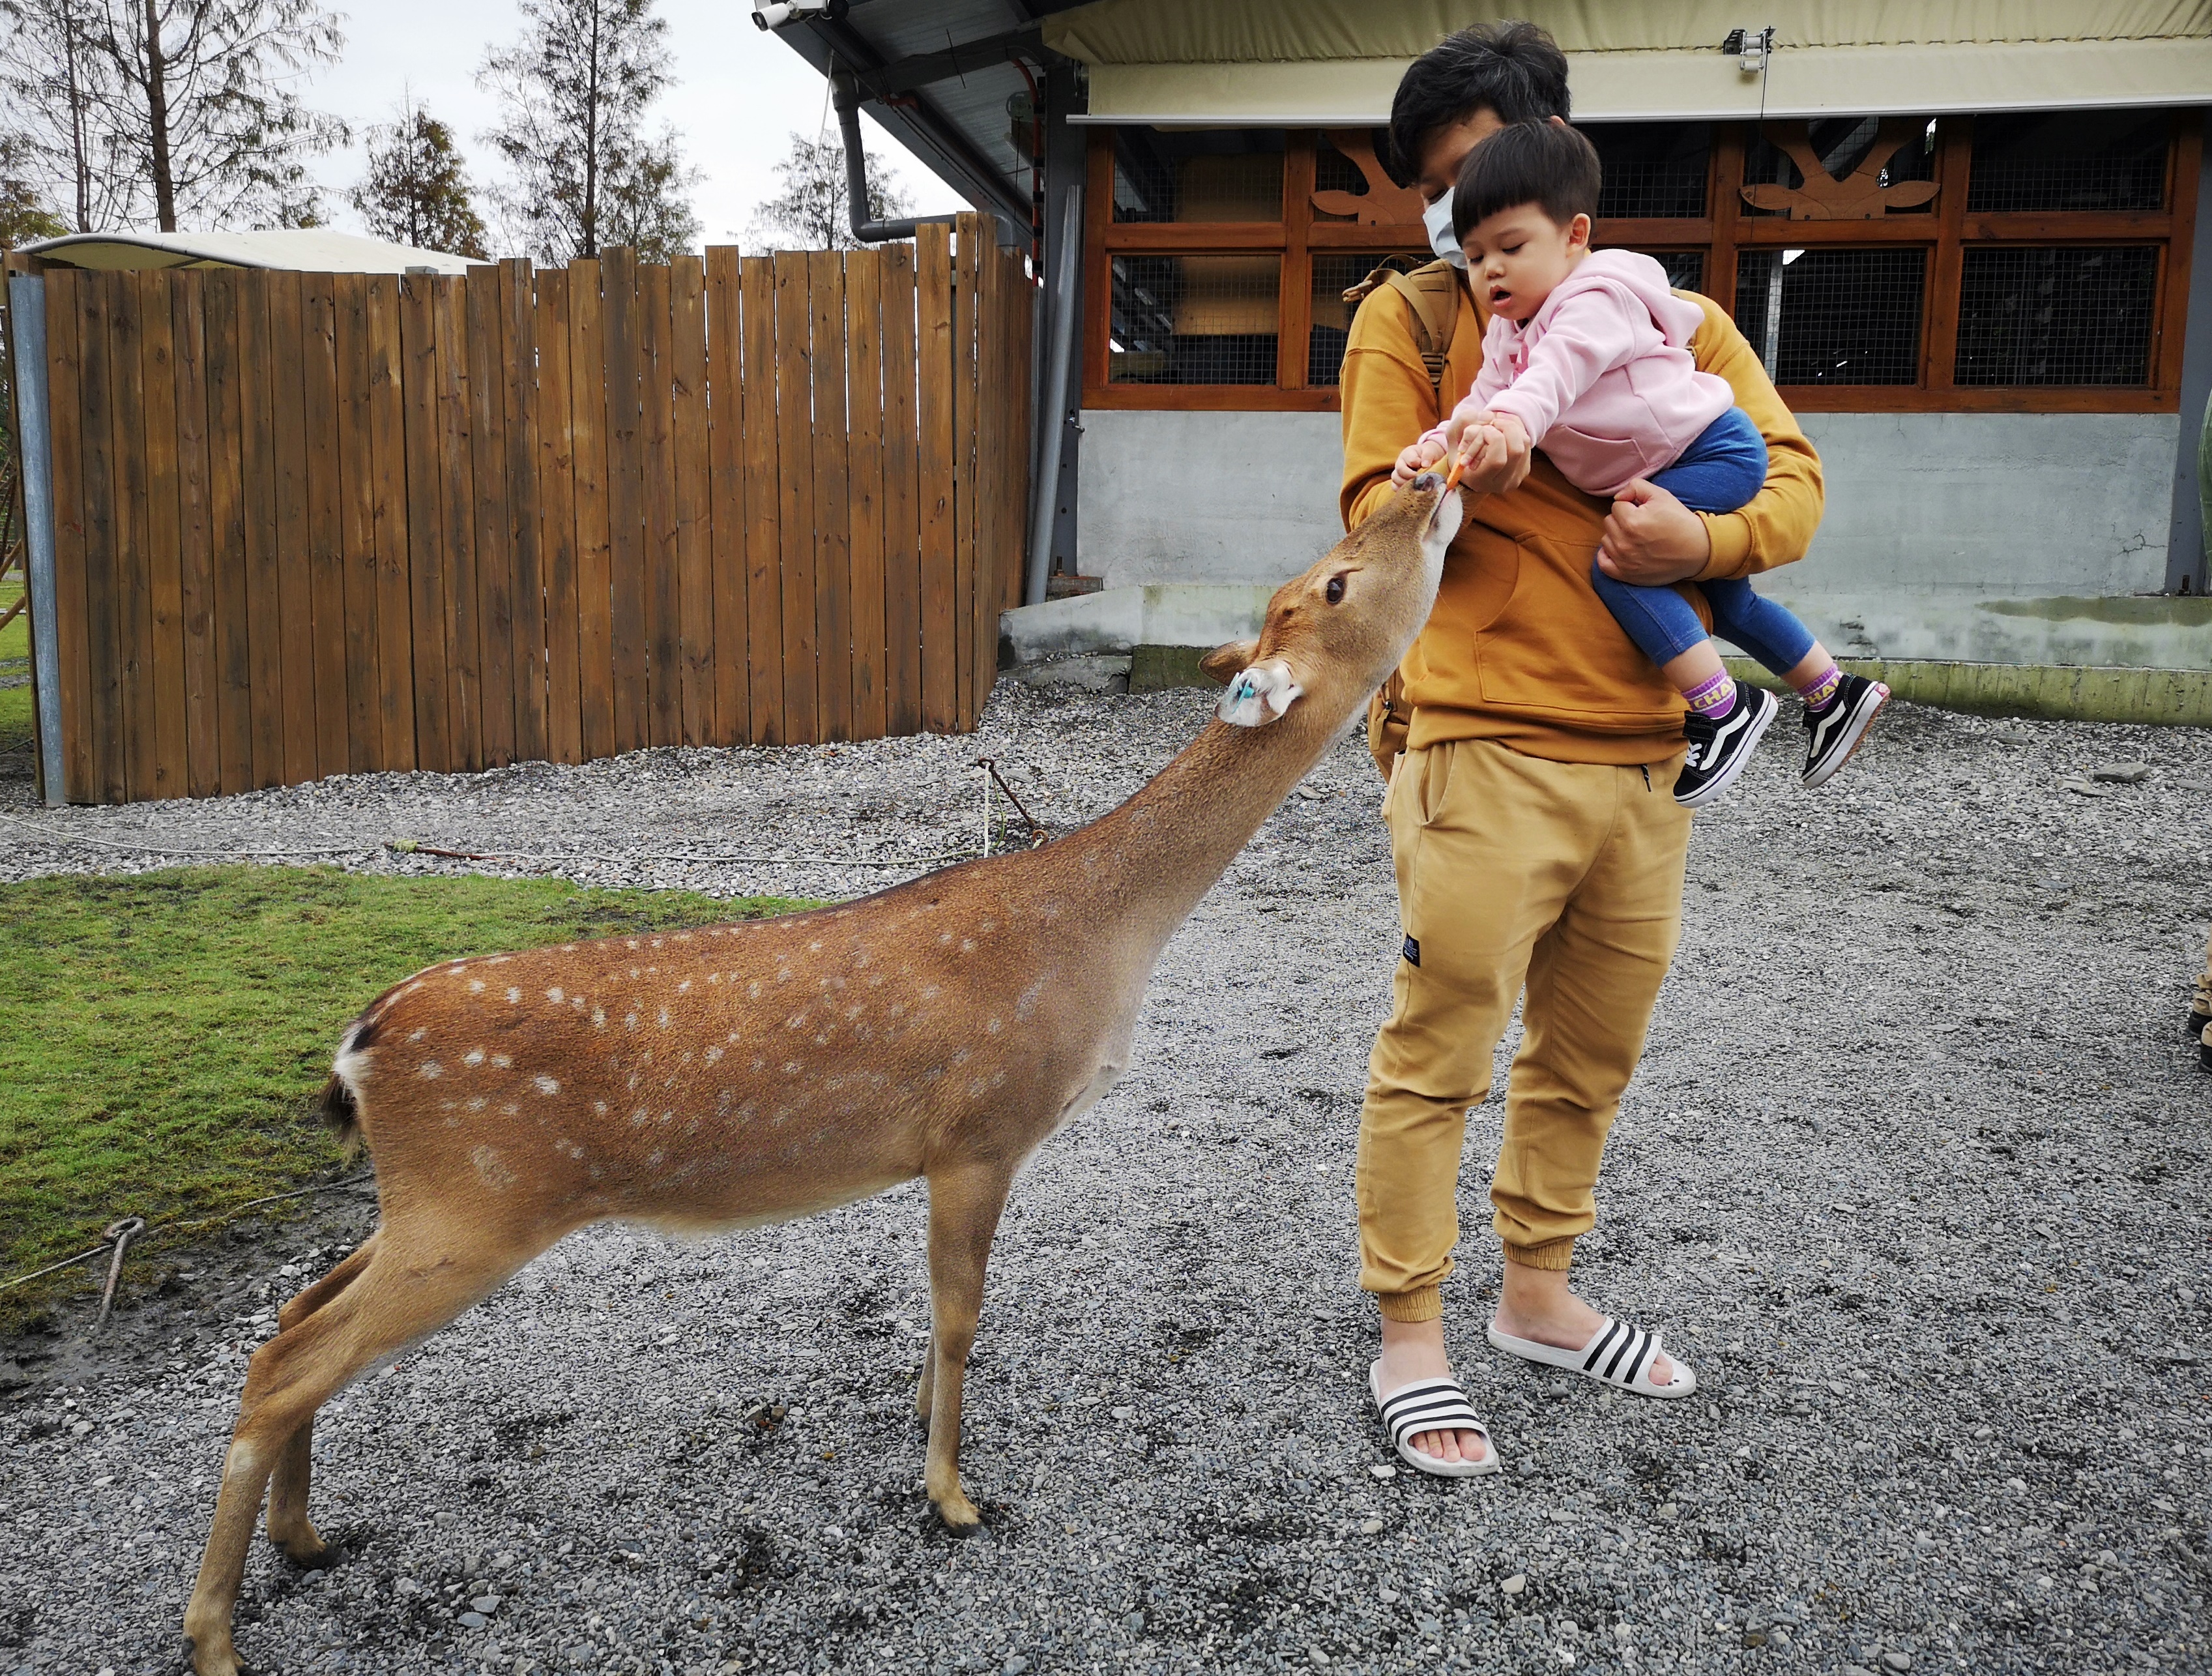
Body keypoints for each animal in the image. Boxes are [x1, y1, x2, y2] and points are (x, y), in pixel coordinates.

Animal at [181, 475, 1468, 1676]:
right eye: (1334, 580)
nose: (1418, 484)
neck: (1095, 934)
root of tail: (360, 1041)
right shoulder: (980, 1129)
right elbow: (960, 1311)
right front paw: (950, 1495)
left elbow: (939, 1313)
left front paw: (919, 1432)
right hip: (474, 1206)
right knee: (282, 1362)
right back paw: (214, 1632)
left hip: (432, 1202)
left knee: (293, 1314)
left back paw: (304, 1536)